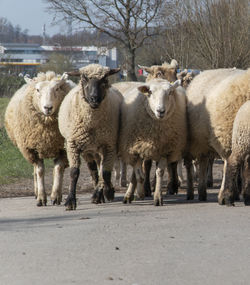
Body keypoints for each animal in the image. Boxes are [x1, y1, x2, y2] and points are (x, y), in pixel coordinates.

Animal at [4, 70, 74, 205]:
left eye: (57, 88)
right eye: (37, 90)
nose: (48, 108)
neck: (48, 133)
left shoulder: (63, 148)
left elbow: (58, 169)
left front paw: (55, 196)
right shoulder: (32, 149)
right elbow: (40, 171)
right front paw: (41, 197)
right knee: (35, 171)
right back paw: (36, 192)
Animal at [58, 63, 121, 209]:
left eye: (104, 79)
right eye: (84, 79)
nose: (94, 98)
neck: (92, 123)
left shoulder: (109, 145)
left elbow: (105, 172)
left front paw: (106, 192)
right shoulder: (73, 145)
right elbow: (74, 172)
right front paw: (70, 201)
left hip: (98, 148)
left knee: (100, 169)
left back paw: (101, 193)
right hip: (88, 150)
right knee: (93, 171)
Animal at [118, 77, 187, 205]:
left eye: (170, 92)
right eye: (150, 92)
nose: (160, 111)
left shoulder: (165, 149)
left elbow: (160, 172)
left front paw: (158, 197)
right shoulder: (137, 148)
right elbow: (139, 175)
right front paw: (140, 193)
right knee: (136, 173)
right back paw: (130, 195)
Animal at [186, 67, 250, 204]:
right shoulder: (227, 141)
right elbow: (227, 166)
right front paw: (225, 195)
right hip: (199, 141)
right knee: (202, 163)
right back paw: (201, 191)